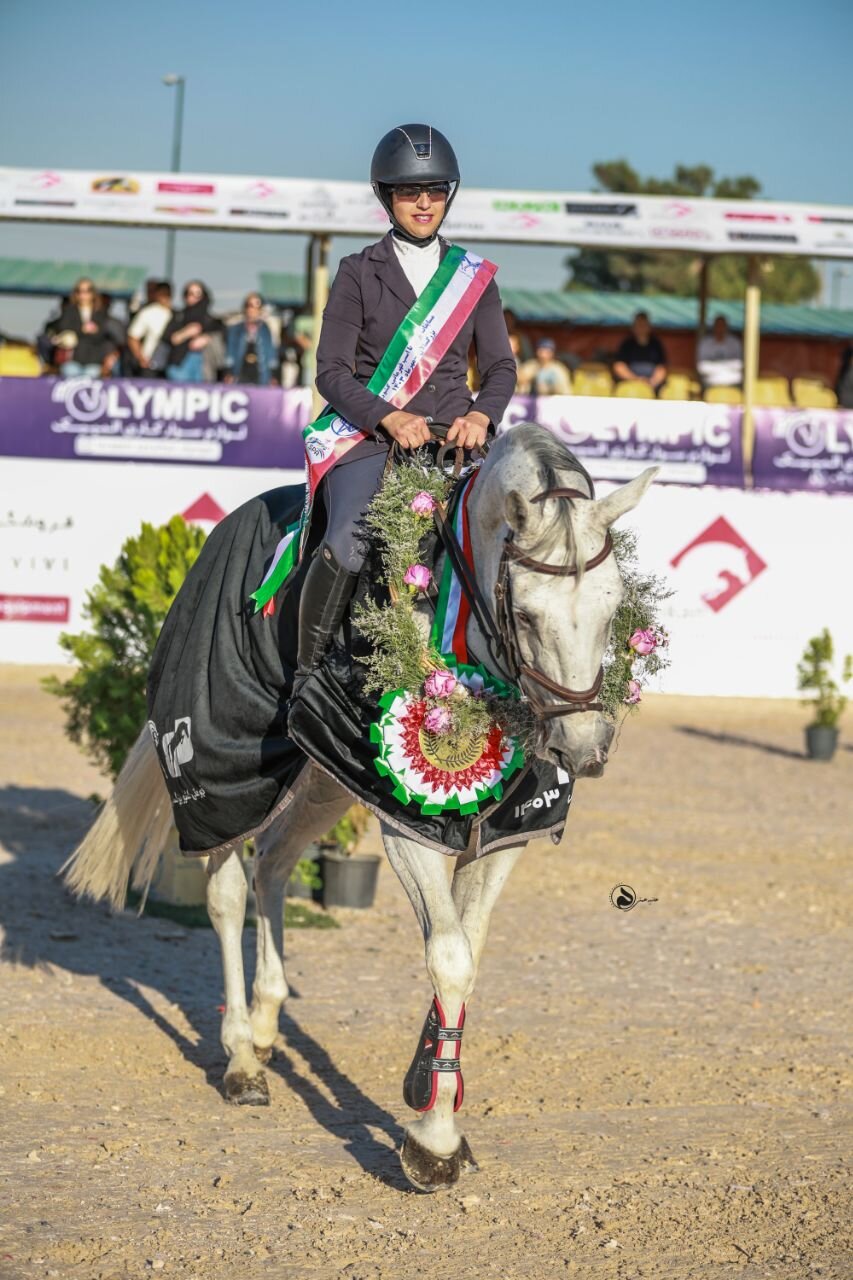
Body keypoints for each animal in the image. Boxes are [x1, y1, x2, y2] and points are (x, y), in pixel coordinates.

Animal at [63, 424, 653, 1192]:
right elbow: (449, 957)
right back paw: (241, 1059)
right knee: (225, 889)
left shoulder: (506, 832)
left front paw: (428, 1085)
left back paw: (265, 1025)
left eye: (615, 610)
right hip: (228, 775)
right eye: (526, 615)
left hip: (320, 778)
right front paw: (433, 1143)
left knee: (273, 864)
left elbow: (469, 947)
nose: (583, 748)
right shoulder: (405, 825)